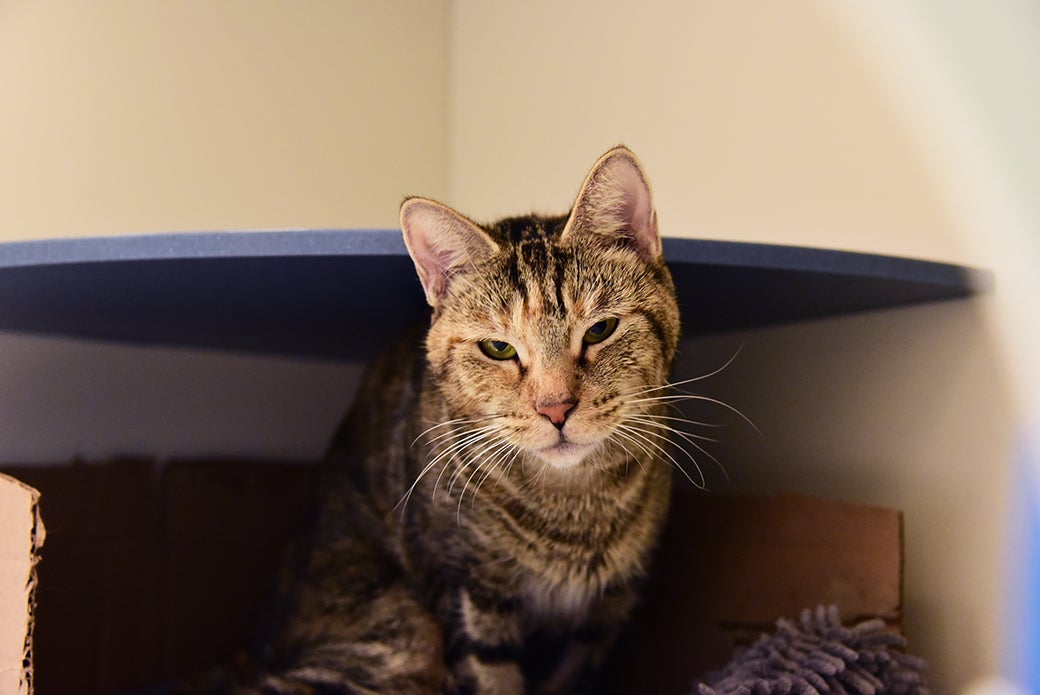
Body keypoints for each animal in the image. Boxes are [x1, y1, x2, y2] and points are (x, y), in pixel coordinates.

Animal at [186, 145, 682, 695]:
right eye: (498, 348)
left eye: (600, 329)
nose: (556, 407)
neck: (574, 508)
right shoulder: (467, 596)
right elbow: (492, 678)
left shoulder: (604, 617)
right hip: (405, 638)